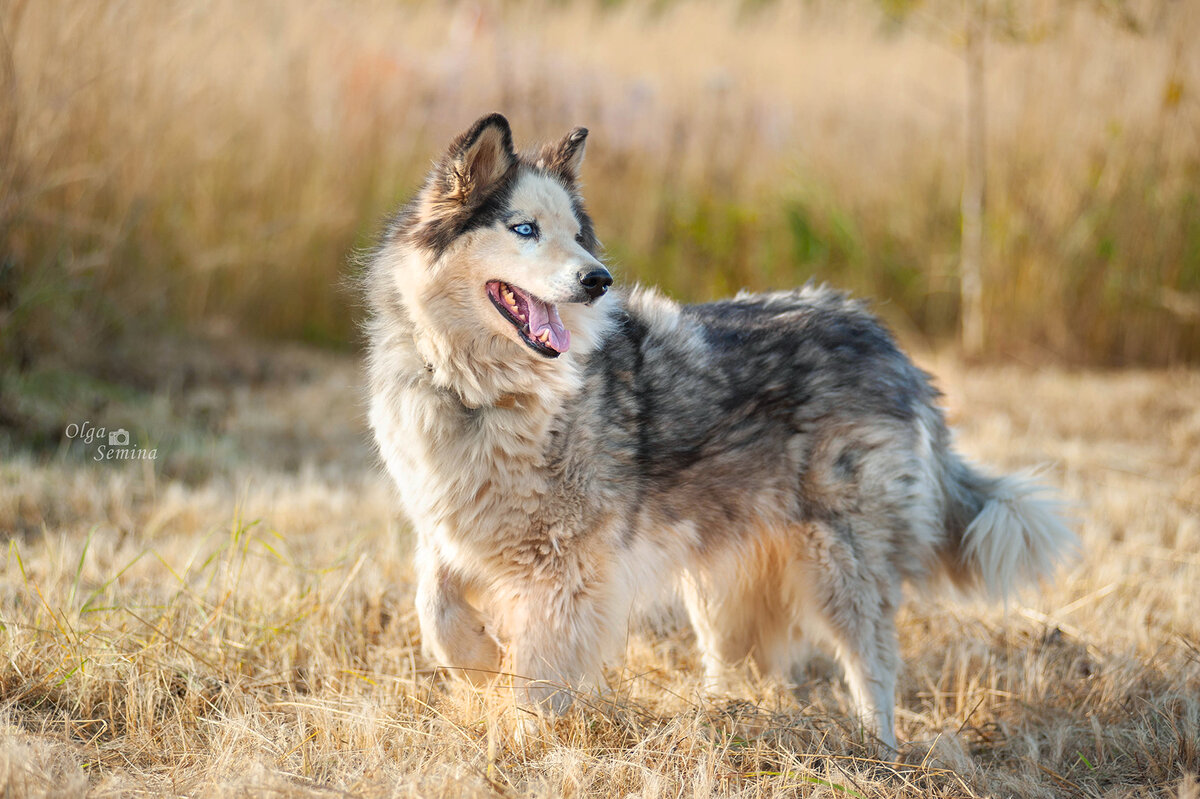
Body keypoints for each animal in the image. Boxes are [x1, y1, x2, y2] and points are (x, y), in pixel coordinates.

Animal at [367, 110, 1080, 748]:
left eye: (577, 237)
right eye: (524, 229)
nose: (599, 280)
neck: (481, 393)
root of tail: (877, 332)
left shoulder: (565, 569)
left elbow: (540, 672)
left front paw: (524, 741)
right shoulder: (449, 526)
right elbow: (434, 607)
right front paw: (478, 661)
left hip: (840, 565)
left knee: (873, 665)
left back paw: (878, 751)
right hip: (723, 593)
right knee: (755, 666)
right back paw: (725, 721)